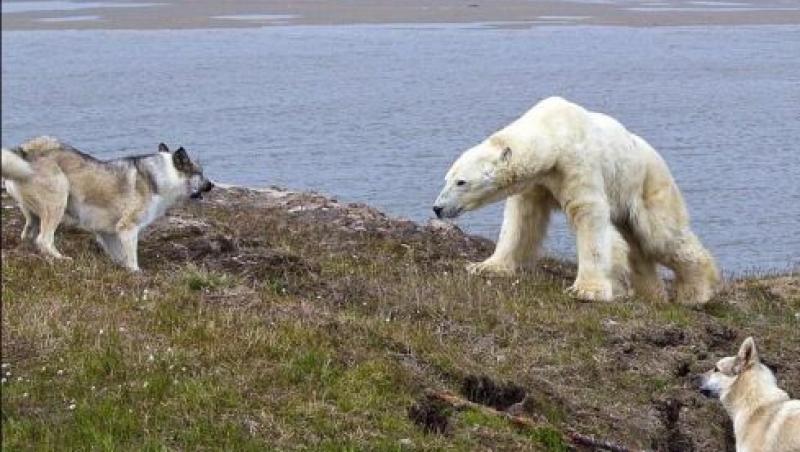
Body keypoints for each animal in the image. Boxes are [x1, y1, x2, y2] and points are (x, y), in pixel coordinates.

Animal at [1, 136, 214, 270]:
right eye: (200, 173)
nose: (211, 185)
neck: (162, 175)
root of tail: (26, 151)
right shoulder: (128, 228)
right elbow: (132, 259)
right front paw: (136, 273)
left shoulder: (108, 233)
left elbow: (120, 257)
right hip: (58, 200)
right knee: (44, 240)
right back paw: (62, 259)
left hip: (33, 215)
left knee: (28, 235)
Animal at [434, 96, 720, 306]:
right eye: (447, 179)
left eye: (461, 182)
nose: (437, 208)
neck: (553, 133)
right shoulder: (537, 184)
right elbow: (522, 220)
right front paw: (485, 267)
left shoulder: (577, 165)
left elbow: (589, 216)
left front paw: (588, 290)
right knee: (637, 248)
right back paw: (651, 293)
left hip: (646, 184)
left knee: (661, 236)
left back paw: (695, 292)